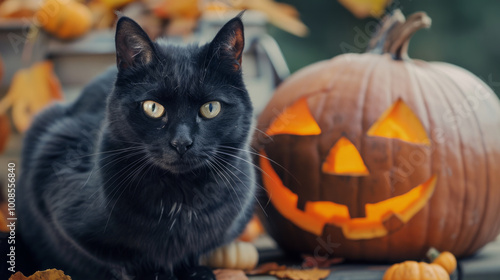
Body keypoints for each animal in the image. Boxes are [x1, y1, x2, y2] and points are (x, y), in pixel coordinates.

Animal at [17, 14, 256, 278]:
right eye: (152, 107)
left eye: (210, 108)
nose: (181, 142)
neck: (180, 199)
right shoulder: (55, 160)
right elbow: (122, 256)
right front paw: (150, 273)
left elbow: (193, 249)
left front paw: (194, 271)